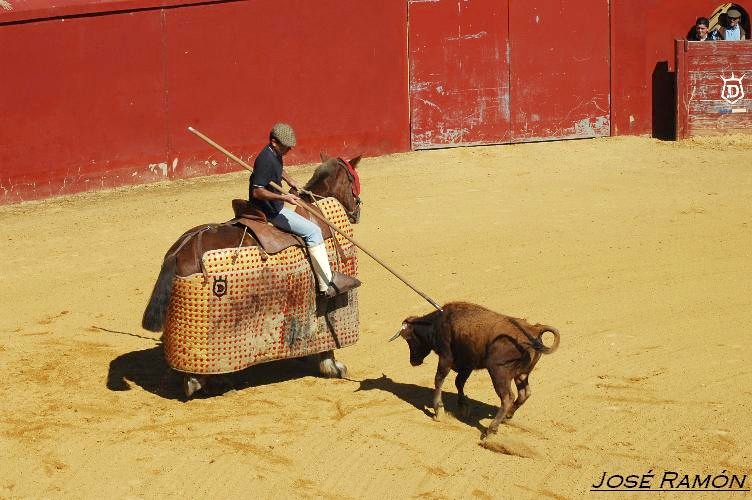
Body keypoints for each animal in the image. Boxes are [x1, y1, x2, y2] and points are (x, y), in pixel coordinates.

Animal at [143, 154, 364, 396]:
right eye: (353, 180)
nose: (357, 213)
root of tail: (181, 248)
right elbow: (328, 339)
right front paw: (333, 367)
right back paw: (211, 382)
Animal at [394, 300, 560, 438]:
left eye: (409, 339)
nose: (413, 361)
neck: (438, 323)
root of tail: (534, 330)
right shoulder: (467, 364)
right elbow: (459, 382)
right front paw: (463, 407)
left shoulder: (446, 357)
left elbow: (439, 379)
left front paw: (438, 410)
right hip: (521, 374)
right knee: (524, 393)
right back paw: (507, 417)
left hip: (498, 372)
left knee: (507, 398)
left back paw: (491, 430)